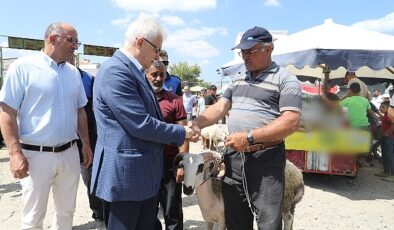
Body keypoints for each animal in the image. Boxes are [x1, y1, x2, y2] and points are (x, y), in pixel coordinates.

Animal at [175, 152, 304, 230]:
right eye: (183, 166)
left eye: (200, 167)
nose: (187, 189)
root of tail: (298, 175)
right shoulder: (208, 220)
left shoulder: (222, 220)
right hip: (290, 203)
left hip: (283, 202)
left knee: (288, 219)